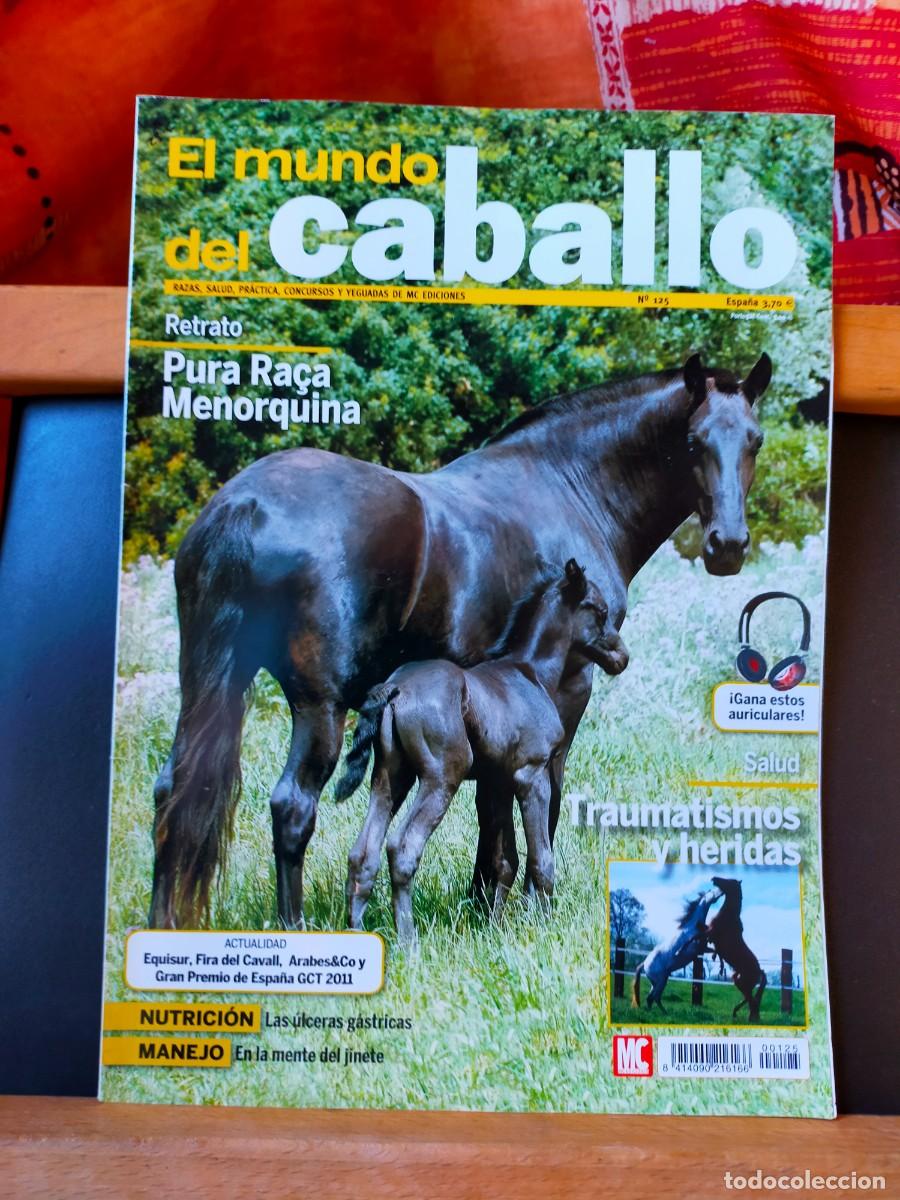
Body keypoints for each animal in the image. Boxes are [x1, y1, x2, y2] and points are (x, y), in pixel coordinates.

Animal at [333, 559, 629, 943]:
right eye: (600, 611)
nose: (622, 656)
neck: (531, 673)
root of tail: (394, 688)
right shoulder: (531, 776)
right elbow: (540, 860)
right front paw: (544, 927)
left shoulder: (498, 782)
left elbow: (504, 860)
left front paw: (494, 928)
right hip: (441, 777)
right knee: (402, 848)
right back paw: (408, 941)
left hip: (390, 778)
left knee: (362, 855)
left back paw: (358, 933)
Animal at [706, 876, 767, 1022]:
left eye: (729, 881)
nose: (714, 878)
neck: (728, 916)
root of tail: (759, 970)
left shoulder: (711, 933)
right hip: (738, 981)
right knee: (749, 999)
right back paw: (738, 1014)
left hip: (743, 983)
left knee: (752, 1001)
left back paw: (751, 1018)